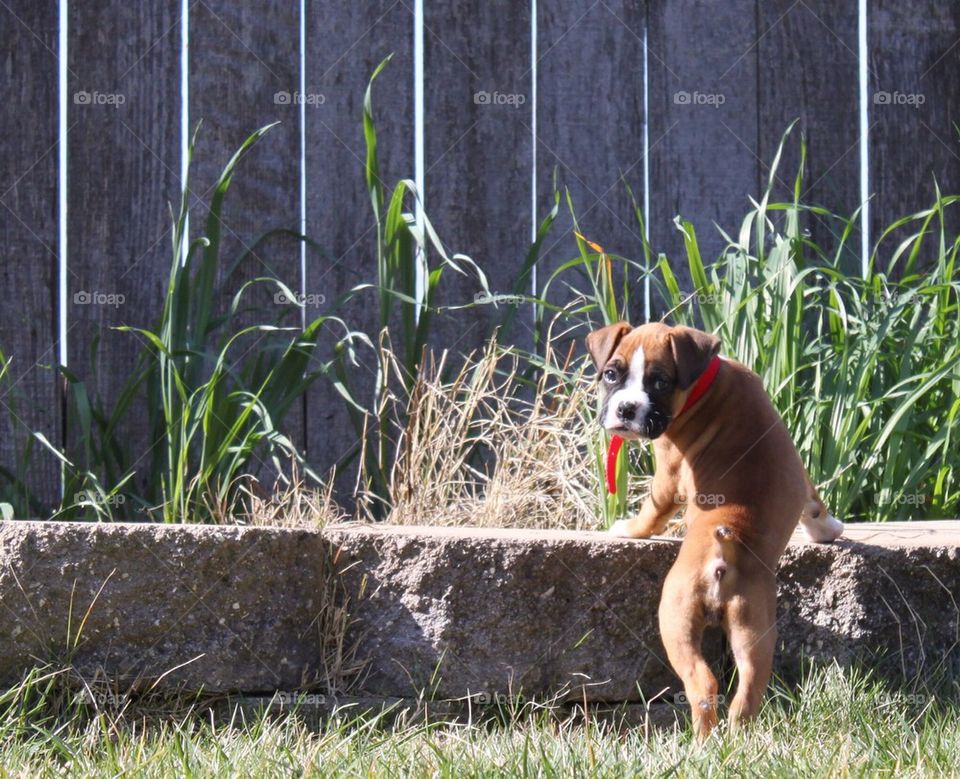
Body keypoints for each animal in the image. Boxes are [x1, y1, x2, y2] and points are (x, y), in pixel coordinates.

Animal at [584, 320, 840, 740]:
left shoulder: (668, 474)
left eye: (659, 382)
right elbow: (813, 501)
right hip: (754, 631)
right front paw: (830, 529)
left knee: (702, 682)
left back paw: (703, 741)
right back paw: (737, 737)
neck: (703, 380)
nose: (626, 408)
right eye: (611, 374)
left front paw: (627, 528)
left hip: (675, 619)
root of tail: (724, 550)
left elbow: (652, 510)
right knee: (748, 688)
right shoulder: (800, 474)